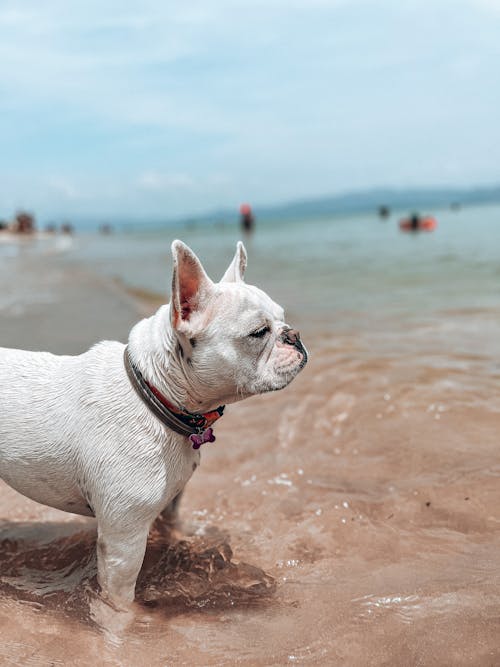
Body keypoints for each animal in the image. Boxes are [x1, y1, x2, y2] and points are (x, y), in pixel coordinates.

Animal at [0, 241, 306, 612]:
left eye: (282, 317)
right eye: (259, 333)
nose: (294, 334)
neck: (156, 392)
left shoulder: (170, 504)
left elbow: (174, 528)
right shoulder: (122, 542)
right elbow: (120, 601)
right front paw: (127, 622)